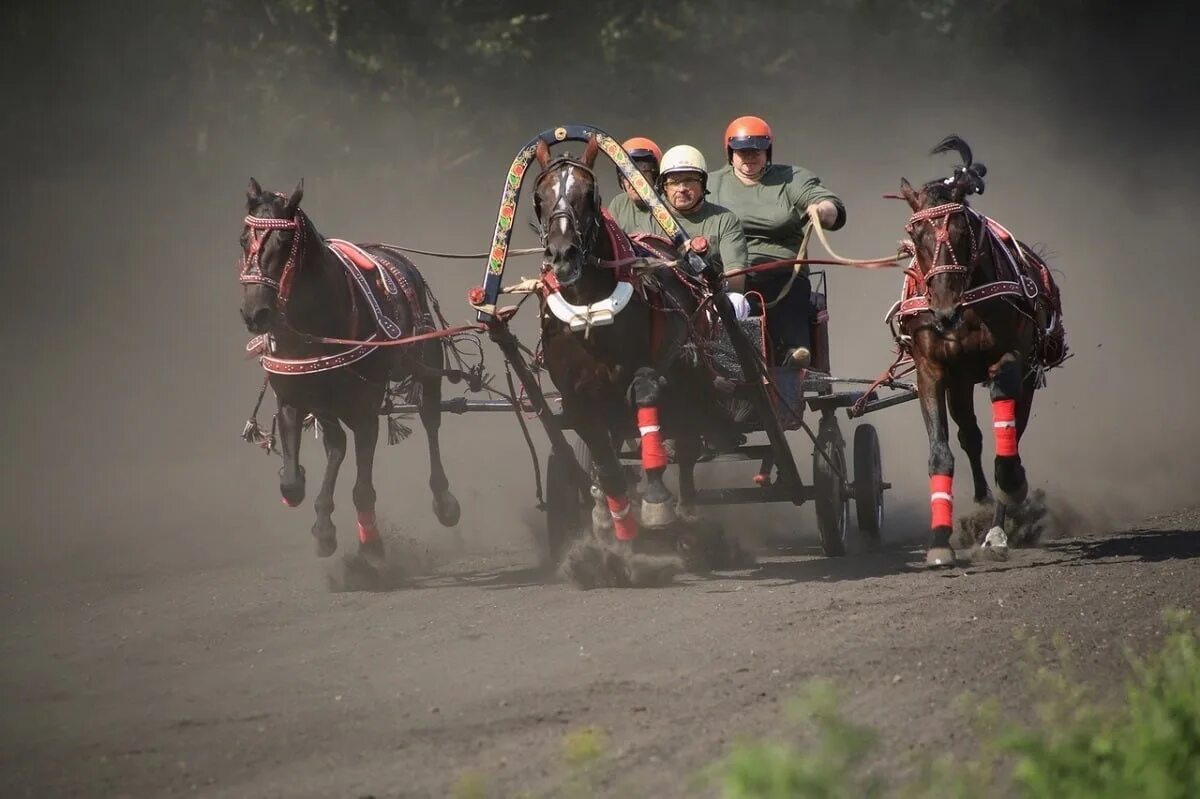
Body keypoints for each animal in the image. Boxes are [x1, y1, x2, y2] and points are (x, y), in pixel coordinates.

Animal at [237, 178, 458, 566]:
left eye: (283, 244)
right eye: (241, 239)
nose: (255, 313)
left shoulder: (364, 409)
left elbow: (363, 487)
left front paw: (371, 544)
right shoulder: (293, 399)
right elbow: (293, 482)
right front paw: (318, 520)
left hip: (427, 359)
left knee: (430, 417)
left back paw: (444, 500)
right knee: (336, 444)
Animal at [535, 138, 739, 559]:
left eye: (588, 195)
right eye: (540, 196)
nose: (562, 255)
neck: (590, 310)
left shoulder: (655, 369)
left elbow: (647, 400)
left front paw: (657, 501)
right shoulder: (578, 397)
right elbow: (606, 464)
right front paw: (618, 527)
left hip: (690, 385)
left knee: (687, 446)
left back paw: (687, 514)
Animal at [897, 133, 1065, 563]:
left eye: (961, 229)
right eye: (916, 237)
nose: (945, 312)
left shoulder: (1012, 359)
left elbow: (1005, 442)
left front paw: (1011, 488)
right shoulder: (932, 371)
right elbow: (942, 450)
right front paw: (939, 539)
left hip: (1025, 378)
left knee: (1009, 434)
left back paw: (997, 526)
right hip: (960, 383)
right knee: (970, 435)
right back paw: (981, 500)